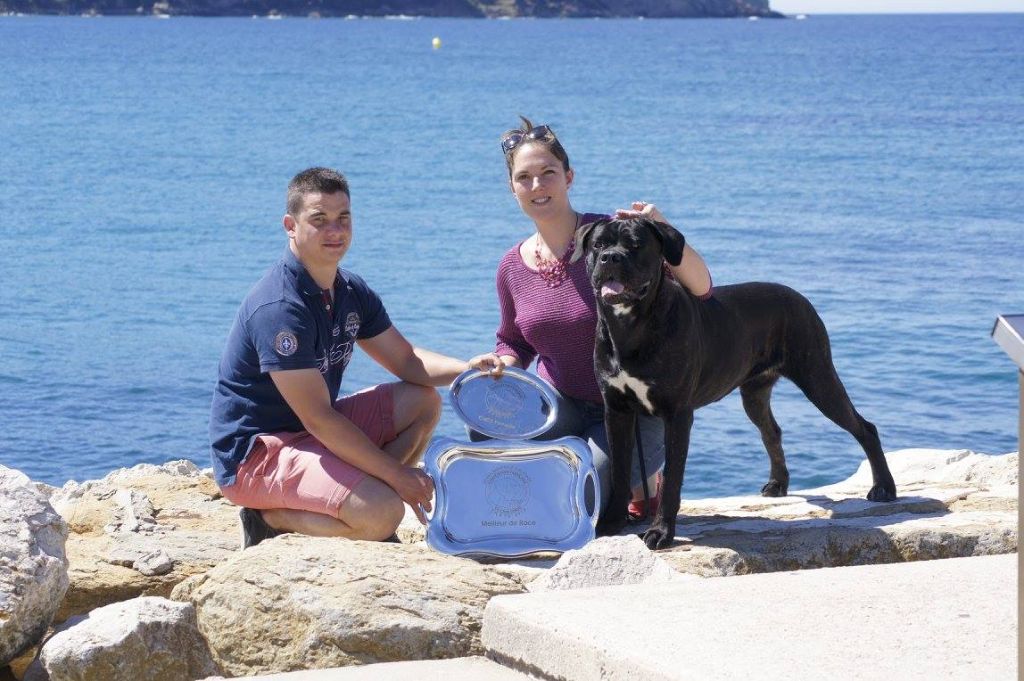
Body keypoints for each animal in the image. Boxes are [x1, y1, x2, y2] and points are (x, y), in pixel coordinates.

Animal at [577, 218, 897, 548]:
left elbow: (673, 479)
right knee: (772, 431)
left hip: (818, 377)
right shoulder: (617, 411)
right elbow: (619, 468)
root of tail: (799, 297)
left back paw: (884, 488)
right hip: (755, 393)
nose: (611, 258)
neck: (630, 326)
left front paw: (661, 532)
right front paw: (612, 522)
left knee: (865, 428)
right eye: (599, 245)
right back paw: (777, 483)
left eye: (636, 244)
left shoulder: (677, 415)